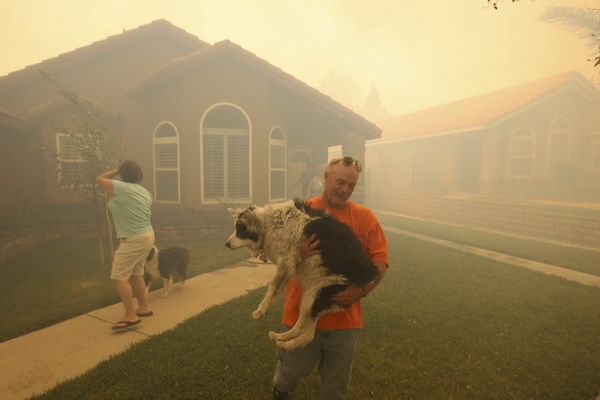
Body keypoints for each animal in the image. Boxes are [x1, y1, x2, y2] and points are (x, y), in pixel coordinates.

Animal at [227, 198, 378, 348]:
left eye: (240, 230)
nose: (226, 244)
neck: (270, 225)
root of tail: (368, 276)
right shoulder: (287, 265)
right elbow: (276, 287)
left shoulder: (287, 261)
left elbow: (272, 287)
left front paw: (261, 309)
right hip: (313, 300)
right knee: (305, 331)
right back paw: (281, 338)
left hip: (315, 294)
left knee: (305, 332)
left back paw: (286, 344)